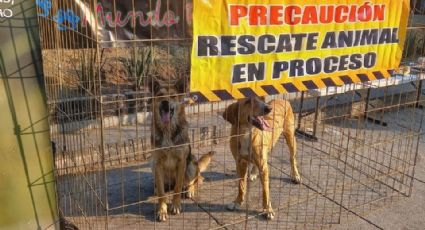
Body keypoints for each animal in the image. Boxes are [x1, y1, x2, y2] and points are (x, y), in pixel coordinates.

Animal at [150, 78, 215, 222]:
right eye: (160, 95)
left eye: (173, 96)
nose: (165, 102)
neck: (167, 130)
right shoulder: (157, 163)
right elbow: (162, 194)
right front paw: (162, 210)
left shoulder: (181, 162)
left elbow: (178, 187)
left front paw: (175, 205)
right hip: (153, 168)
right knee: (164, 187)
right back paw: (158, 189)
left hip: (191, 164)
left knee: (197, 179)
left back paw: (189, 189)